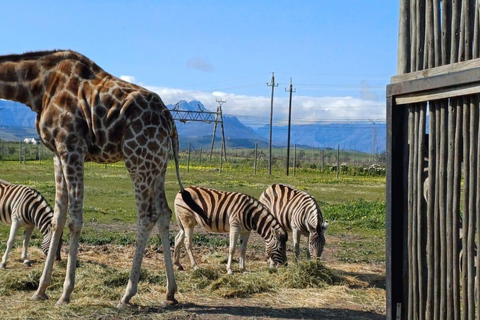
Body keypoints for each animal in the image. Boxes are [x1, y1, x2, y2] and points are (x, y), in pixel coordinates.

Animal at [0, 50, 184, 308]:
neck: (36, 88)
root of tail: (170, 121)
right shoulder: (57, 153)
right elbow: (58, 218)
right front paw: (41, 289)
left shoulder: (72, 147)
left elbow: (74, 220)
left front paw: (65, 293)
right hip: (159, 164)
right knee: (164, 213)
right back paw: (170, 292)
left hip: (137, 159)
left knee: (147, 217)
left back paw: (127, 294)